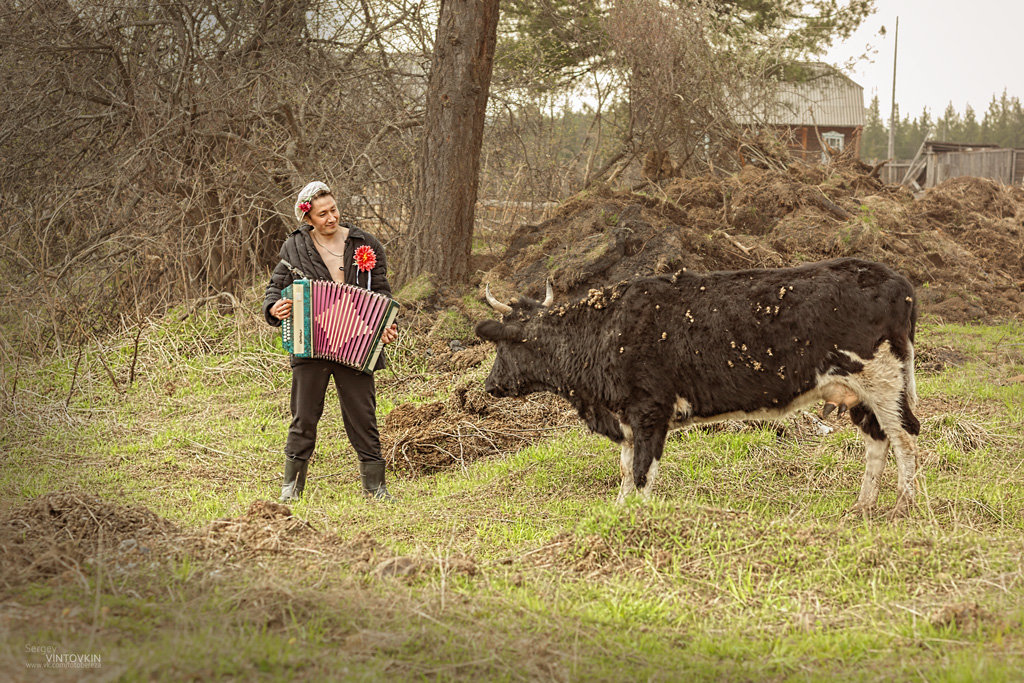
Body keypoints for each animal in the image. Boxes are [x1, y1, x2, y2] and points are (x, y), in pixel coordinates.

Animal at [475, 258, 925, 518]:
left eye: (501, 345)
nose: (490, 385)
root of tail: (894, 279)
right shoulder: (627, 419)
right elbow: (625, 469)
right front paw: (620, 510)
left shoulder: (650, 411)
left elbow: (642, 471)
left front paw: (639, 517)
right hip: (857, 393)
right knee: (877, 442)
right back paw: (862, 507)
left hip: (883, 380)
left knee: (904, 438)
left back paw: (902, 506)